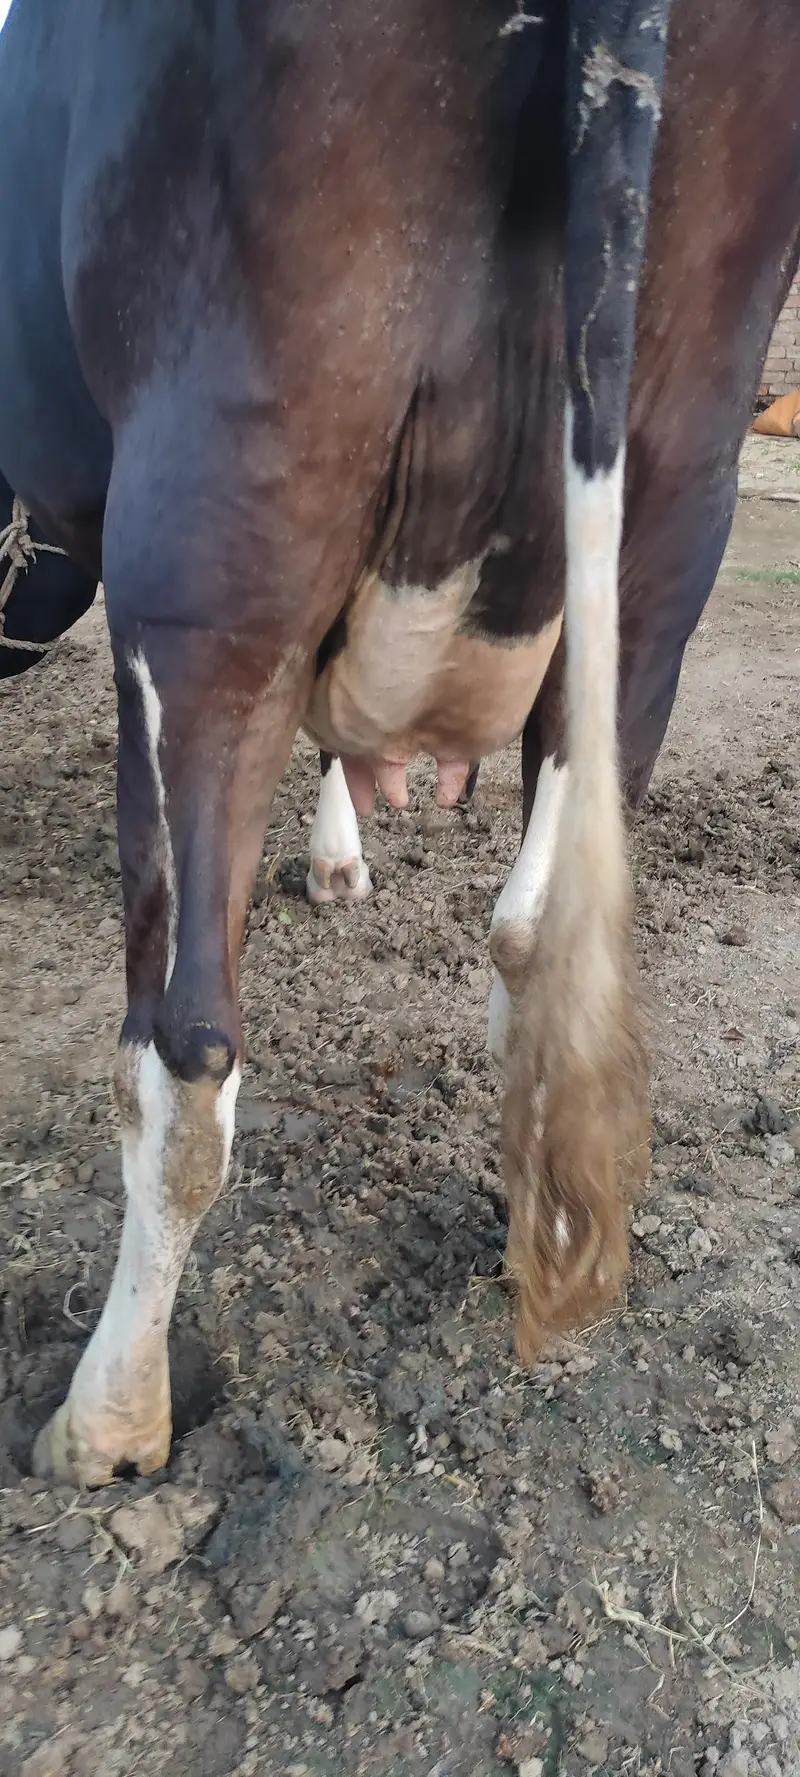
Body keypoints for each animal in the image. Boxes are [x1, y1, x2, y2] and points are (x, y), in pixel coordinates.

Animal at [0, 0, 797, 1489]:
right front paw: (341, 857)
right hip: (667, 520)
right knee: (537, 941)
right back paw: (538, 1234)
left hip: (218, 512)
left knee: (189, 1048)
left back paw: (112, 1411)